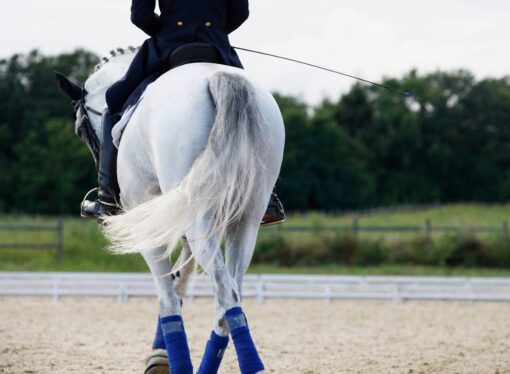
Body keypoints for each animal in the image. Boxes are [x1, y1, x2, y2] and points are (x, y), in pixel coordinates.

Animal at [58, 48, 286, 372]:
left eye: (80, 130)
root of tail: (219, 78)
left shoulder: (152, 222)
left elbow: (167, 294)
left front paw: (163, 357)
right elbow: (181, 278)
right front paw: (160, 354)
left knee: (224, 293)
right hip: (245, 221)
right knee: (230, 297)